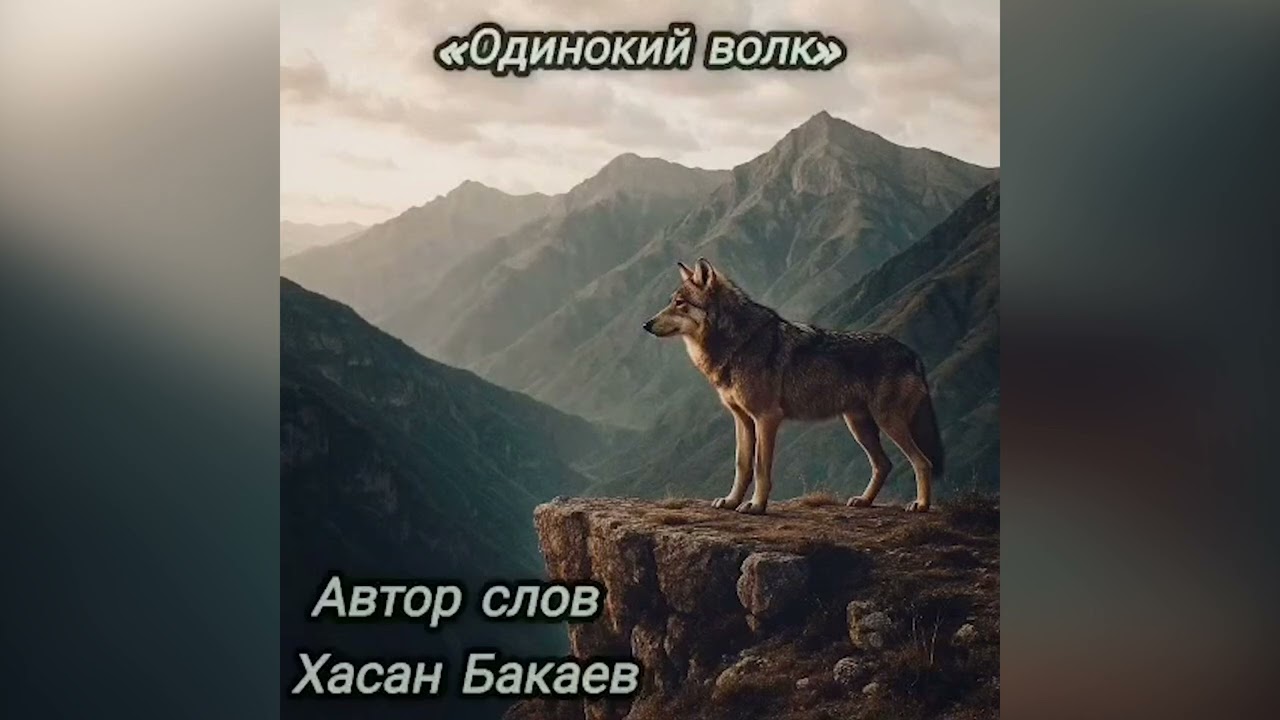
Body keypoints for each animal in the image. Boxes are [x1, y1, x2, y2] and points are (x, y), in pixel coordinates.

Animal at [642, 258, 944, 514]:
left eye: (680, 303)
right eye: (671, 302)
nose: (646, 324)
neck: (737, 343)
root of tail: (911, 353)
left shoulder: (766, 418)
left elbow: (760, 467)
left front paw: (756, 506)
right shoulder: (742, 420)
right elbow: (742, 465)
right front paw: (731, 501)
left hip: (887, 422)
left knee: (922, 462)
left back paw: (921, 505)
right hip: (859, 426)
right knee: (884, 464)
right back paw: (864, 501)